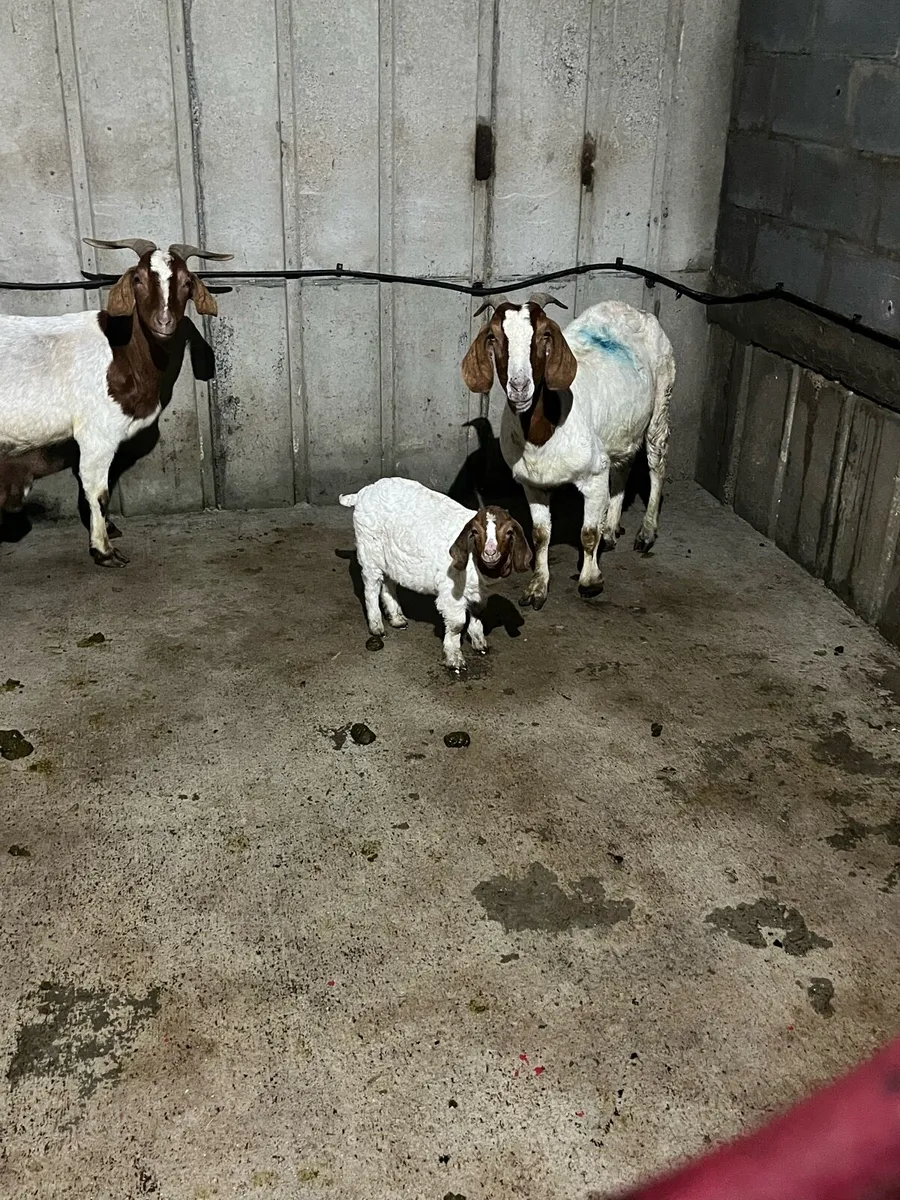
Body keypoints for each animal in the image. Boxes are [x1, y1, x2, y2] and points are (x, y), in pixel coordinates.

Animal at [0, 237, 231, 566]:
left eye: (187, 282)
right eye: (138, 279)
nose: (164, 321)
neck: (124, 354)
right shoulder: (97, 432)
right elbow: (97, 490)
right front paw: (103, 549)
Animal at [339, 477, 532, 672]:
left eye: (509, 532)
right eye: (475, 532)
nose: (490, 553)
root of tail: (362, 493)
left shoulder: (480, 593)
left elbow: (477, 614)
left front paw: (480, 643)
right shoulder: (451, 592)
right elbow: (457, 624)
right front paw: (454, 659)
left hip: (390, 558)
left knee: (388, 583)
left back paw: (397, 619)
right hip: (370, 550)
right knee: (371, 587)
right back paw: (377, 627)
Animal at [461, 293, 675, 608]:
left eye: (544, 335)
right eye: (494, 337)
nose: (519, 386)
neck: (542, 433)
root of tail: (635, 310)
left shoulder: (594, 475)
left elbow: (587, 533)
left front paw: (590, 580)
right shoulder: (532, 484)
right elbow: (540, 535)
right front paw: (537, 587)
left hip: (662, 397)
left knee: (656, 461)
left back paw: (646, 532)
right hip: (620, 428)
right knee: (623, 464)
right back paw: (611, 530)